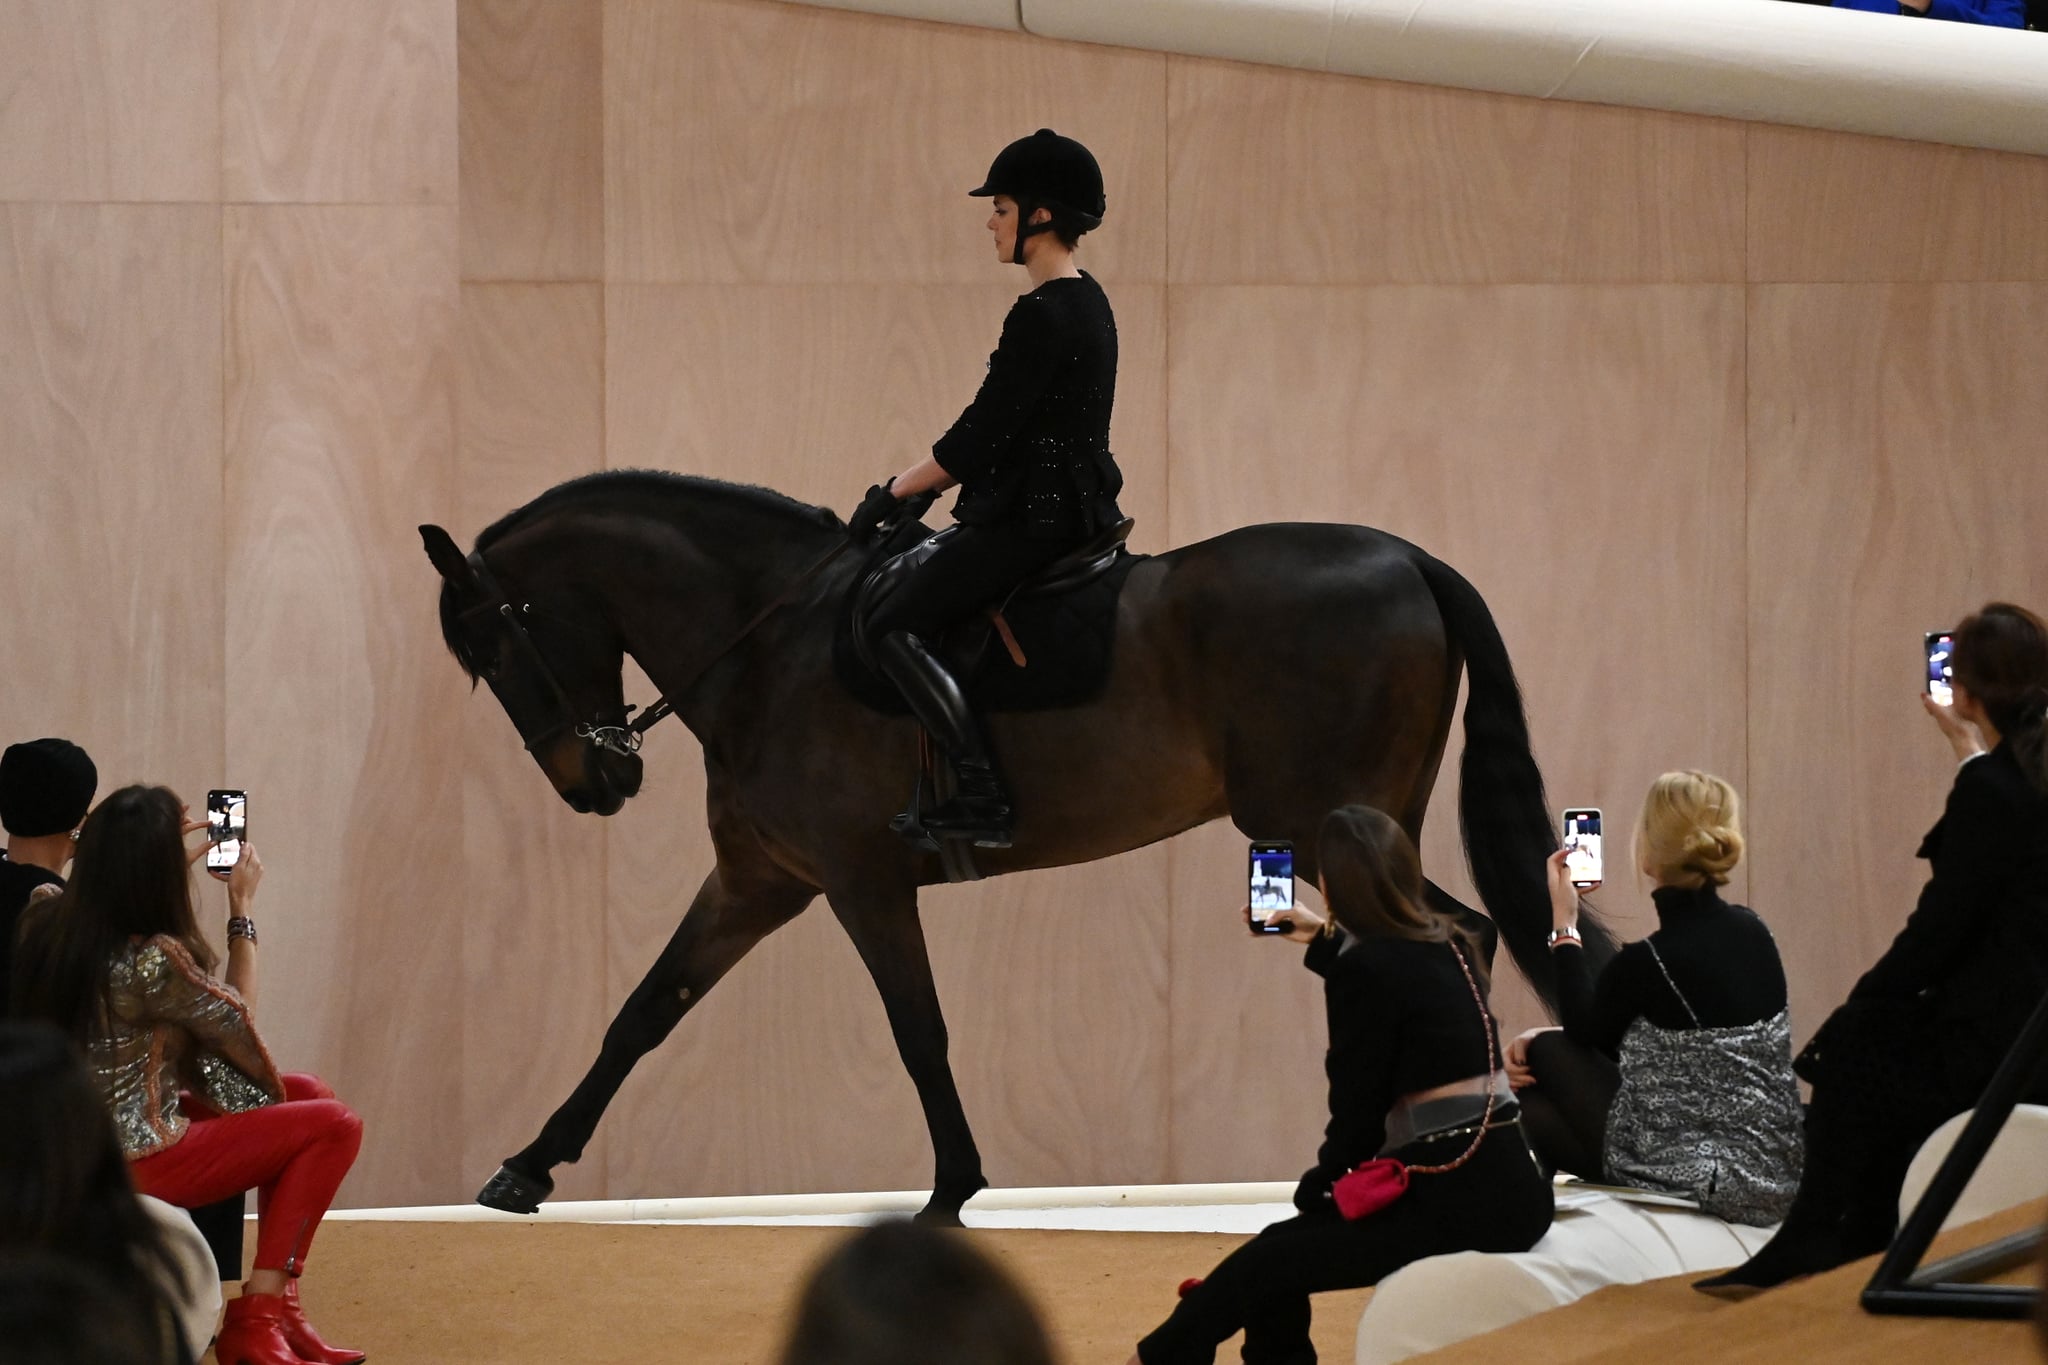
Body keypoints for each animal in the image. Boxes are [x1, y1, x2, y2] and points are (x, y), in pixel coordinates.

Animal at [415, 474, 1605, 1219]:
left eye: (494, 648)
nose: (598, 783)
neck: (769, 644)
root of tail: (1407, 557)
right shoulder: (758, 881)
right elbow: (643, 1013)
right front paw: (525, 1168)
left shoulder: (859, 882)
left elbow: (919, 1032)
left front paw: (951, 1189)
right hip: (1362, 823)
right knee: (1457, 933)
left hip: (1326, 822)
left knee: (1443, 935)